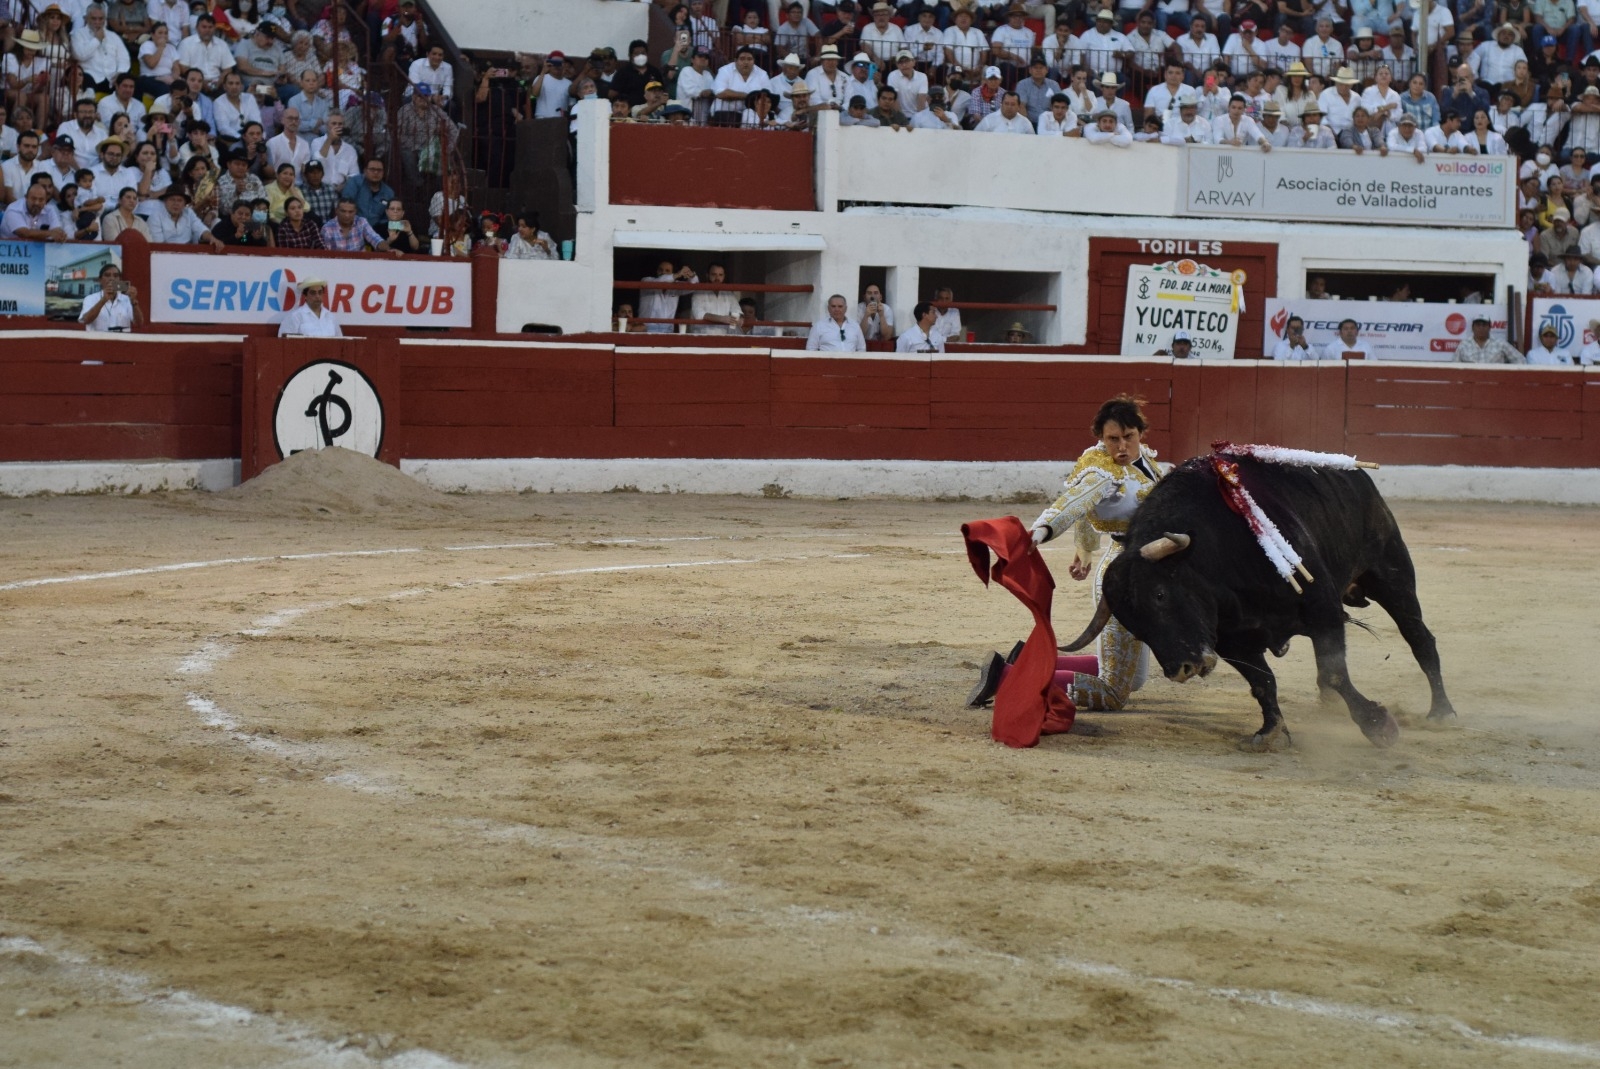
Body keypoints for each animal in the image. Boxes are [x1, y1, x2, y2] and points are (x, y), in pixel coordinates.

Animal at [1068, 457, 1459, 752]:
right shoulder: (1231, 642)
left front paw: (1378, 726)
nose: (1182, 669)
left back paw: (1442, 713)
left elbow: (1333, 673)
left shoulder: (1324, 611)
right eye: (1132, 624)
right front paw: (1270, 733)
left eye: (1161, 595)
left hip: (1391, 574)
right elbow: (1263, 682)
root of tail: (1356, 473)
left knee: (1420, 638)